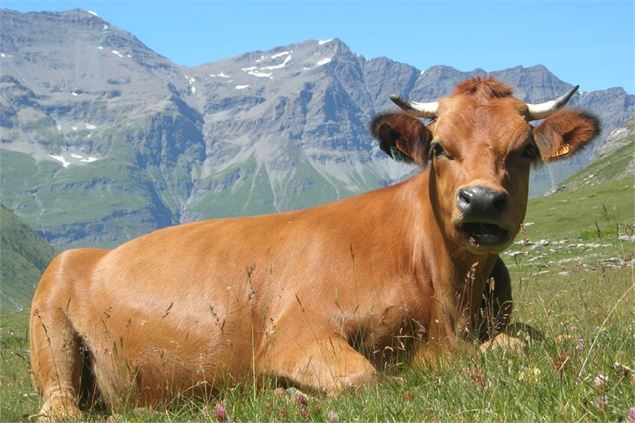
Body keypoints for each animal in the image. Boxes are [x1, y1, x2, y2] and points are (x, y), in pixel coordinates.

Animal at [27, 78, 600, 420]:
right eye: (439, 147)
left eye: (525, 150)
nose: (481, 198)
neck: (447, 297)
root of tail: (90, 253)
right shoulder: (297, 336)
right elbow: (365, 378)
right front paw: (283, 394)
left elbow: (527, 341)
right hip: (54, 319)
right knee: (61, 409)